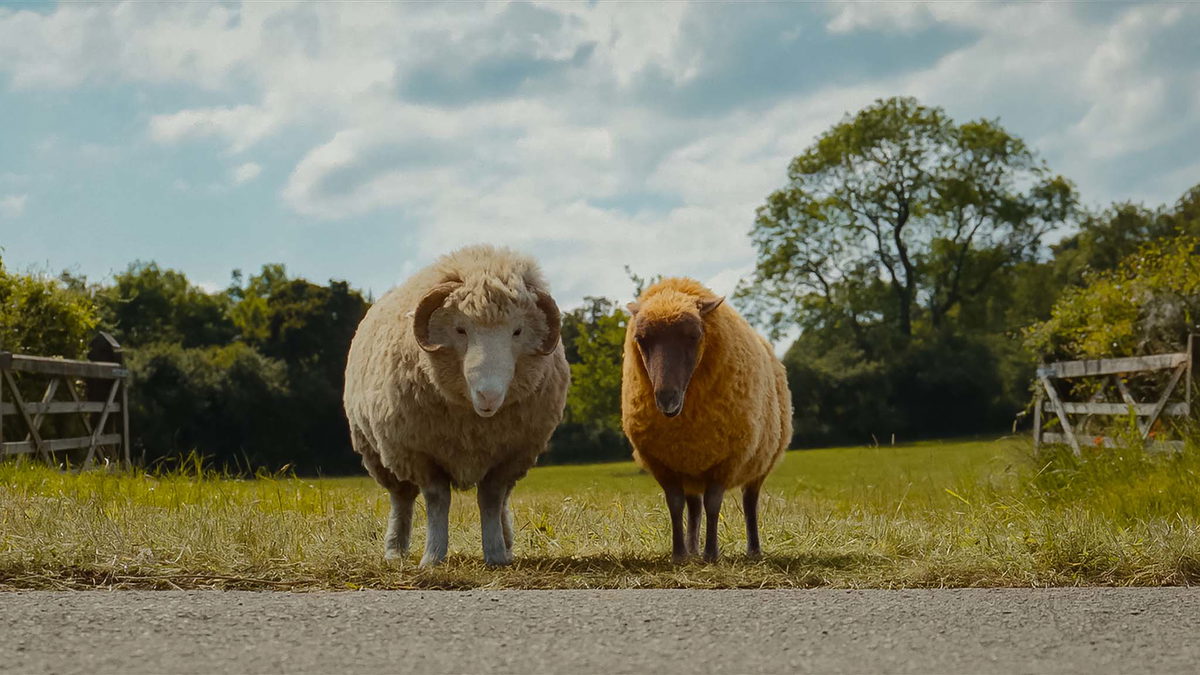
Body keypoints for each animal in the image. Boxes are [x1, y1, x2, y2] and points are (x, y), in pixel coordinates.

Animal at [343, 244, 570, 566]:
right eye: (461, 329)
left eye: (517, 331)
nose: (488, 395)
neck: (473, 424)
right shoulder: (421, 454)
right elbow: (438, 500)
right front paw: (433, 556)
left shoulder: (510, 456)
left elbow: (491, 499)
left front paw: (496, 553)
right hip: (380, 453)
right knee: (401, 499)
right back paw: (395, 550)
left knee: (501, 501)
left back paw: (507, 543)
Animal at [621, 277, 792, 562]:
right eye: (641, 339)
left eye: (694, 336)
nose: (666, 398)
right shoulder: (663, 463)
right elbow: (675, 505)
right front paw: (679, 554)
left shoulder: (726, 460)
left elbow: (713, 504)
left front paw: (712, 554)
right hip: (691, 466)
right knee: (693, 507)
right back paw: (692, 549)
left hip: (759, 463)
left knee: (750, 502)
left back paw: (753, 550)